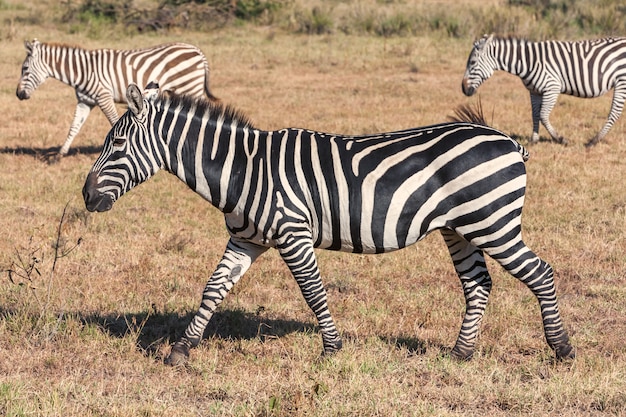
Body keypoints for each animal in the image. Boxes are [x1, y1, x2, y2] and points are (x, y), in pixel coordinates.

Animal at [15, 39, 216, 156]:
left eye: (25, 69)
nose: (18, 94)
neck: (83, 71)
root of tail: (197, 50)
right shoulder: (85, 101)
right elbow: (74, 126)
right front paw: (60, 154)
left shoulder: (103, 96)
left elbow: (114, 122)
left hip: (191, 87)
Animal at [83, 81, 576, 364]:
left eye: (117, 144)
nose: (86, 196)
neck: (243, 169)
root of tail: (507, 140)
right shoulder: (246, 239)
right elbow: (213, 289)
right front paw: (182, 350)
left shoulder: (293, 233)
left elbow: (313, 292)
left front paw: (332, 350)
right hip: (462, 229)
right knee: (479, 285)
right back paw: (460, 354)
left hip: (493, 222)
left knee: (541, 273)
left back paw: (562, 350)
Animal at [458, 34, 624, 148]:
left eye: (472, 62)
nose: (463, 88)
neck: (528, 62)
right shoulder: (534, 91)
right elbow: (535, 114)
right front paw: (534, 139)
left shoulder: (552, 88)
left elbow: (543, 115)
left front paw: (560, 139)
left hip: (621, 81)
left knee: (614, 113)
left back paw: (593, 141)